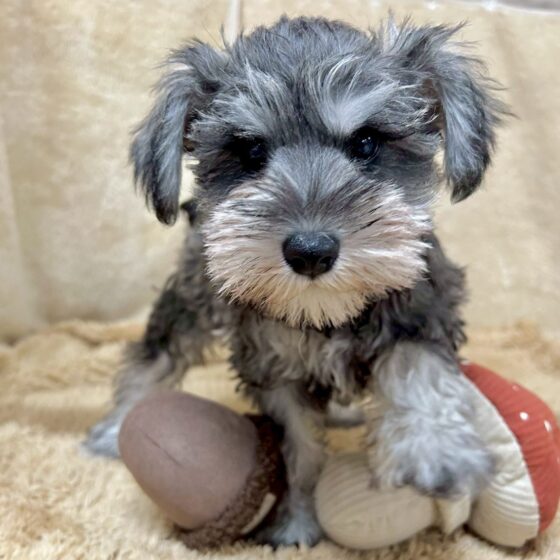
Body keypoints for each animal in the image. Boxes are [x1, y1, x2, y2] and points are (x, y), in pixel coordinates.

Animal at [86, 15, 507, 546]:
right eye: (250, 151)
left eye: (367, 143)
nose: (310, 251)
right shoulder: (274, 369)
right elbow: (300, 451)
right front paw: (296, 523)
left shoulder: (422, 309)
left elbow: (418, 369)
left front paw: (436, 450)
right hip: (190, 295)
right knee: (156, 356)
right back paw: (116, 425)